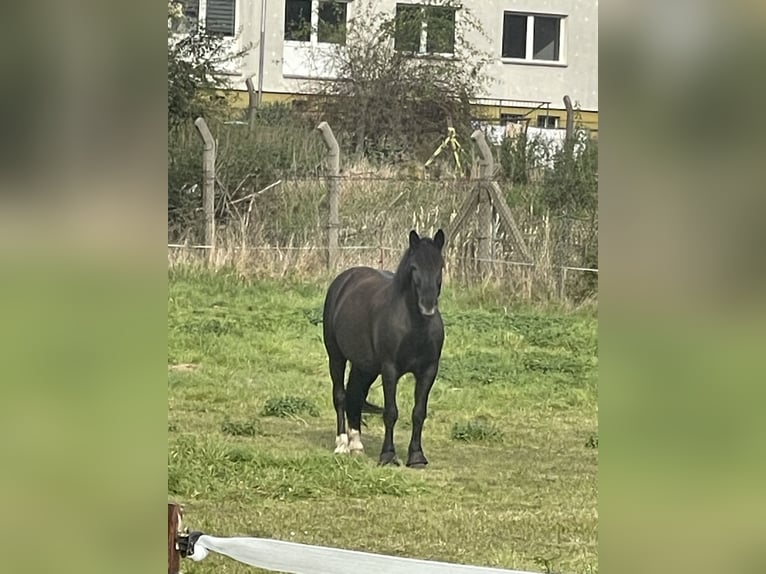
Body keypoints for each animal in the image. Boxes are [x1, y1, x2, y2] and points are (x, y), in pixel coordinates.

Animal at [322, 230, 444, 468]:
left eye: (440, 266)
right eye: (414, 267)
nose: (427, 306)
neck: (415, 326)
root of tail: (344, 280)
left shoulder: (428, 371)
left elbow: (419, 413)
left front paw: (416, 456)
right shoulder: (390, 369)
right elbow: (390, 412)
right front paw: (388, 455)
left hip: (365, 367)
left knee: (355, 395)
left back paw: (356, 445)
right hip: (336, 356)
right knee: (340, 395)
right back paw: (342, 444)